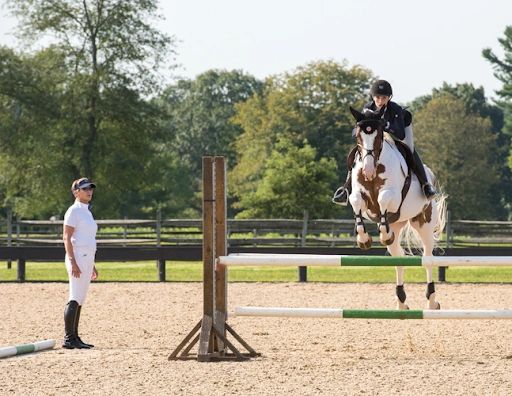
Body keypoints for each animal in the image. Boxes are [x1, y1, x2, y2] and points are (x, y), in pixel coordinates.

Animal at [346, 106, 446, 310]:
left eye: (378, 136)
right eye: (358, 136)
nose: (368, 171)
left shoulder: (393, 194)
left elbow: (383, 197)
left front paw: (378, 235)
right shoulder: (358, 194)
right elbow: (356, 201)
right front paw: (364, 239)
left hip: (424, 223)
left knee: (427, 259)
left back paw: (432, 301)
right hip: (397, 224)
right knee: (398, 257)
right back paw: (401, 303)